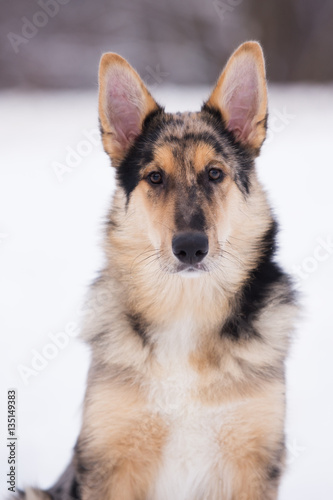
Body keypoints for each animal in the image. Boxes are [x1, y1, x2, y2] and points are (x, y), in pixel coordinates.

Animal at [18, 43, 296, 500]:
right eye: (154, 177)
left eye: (214, 173)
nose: (190, 247)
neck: (186, 311)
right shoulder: (108, 461)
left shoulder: (251, 465)